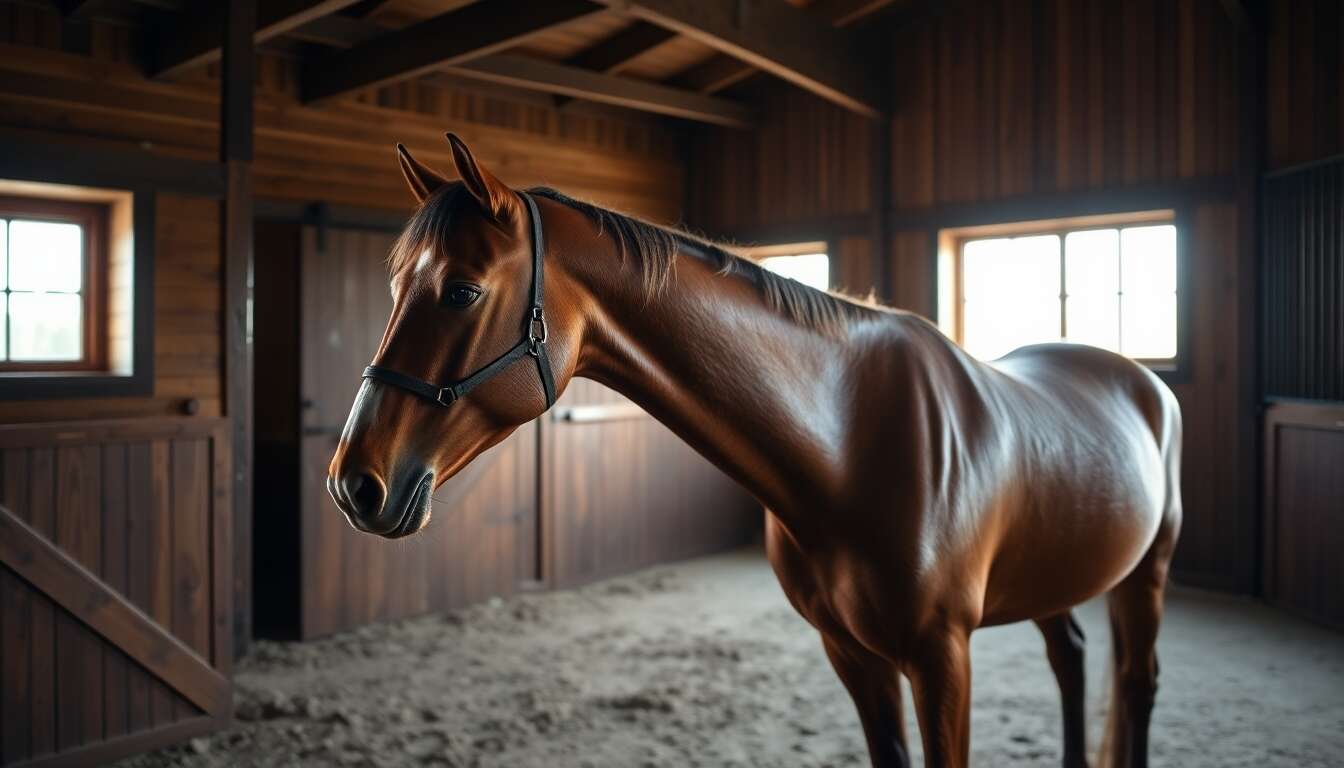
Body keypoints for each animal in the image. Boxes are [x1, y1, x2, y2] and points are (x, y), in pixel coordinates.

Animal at [328, 133, 1182, 768]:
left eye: (462, 291)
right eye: (397, 285)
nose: (353, 485)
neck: (850, 442)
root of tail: (1145, 382)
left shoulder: (943, 658)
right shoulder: (853, 656)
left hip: (1145, 576)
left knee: (1137, 683)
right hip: (1057, 574)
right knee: (1072, 659)